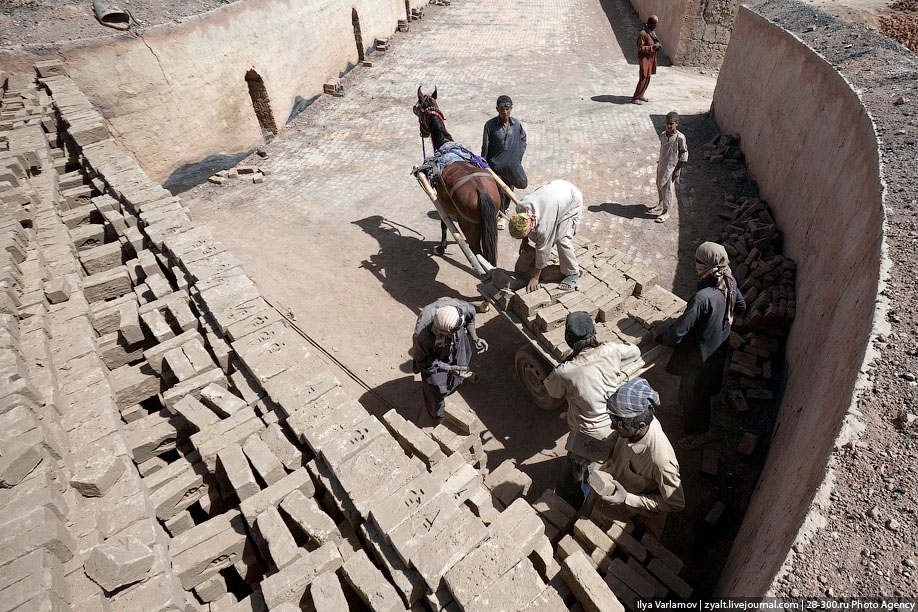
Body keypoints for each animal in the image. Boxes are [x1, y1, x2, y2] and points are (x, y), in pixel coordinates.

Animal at [414, 85, 500, 266]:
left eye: (417, 108)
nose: (423, 133)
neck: (445, 144)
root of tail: (481, 191)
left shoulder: (441, 200)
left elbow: (444, 223)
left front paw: (441, 247)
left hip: (469, 225)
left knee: (478, 253)